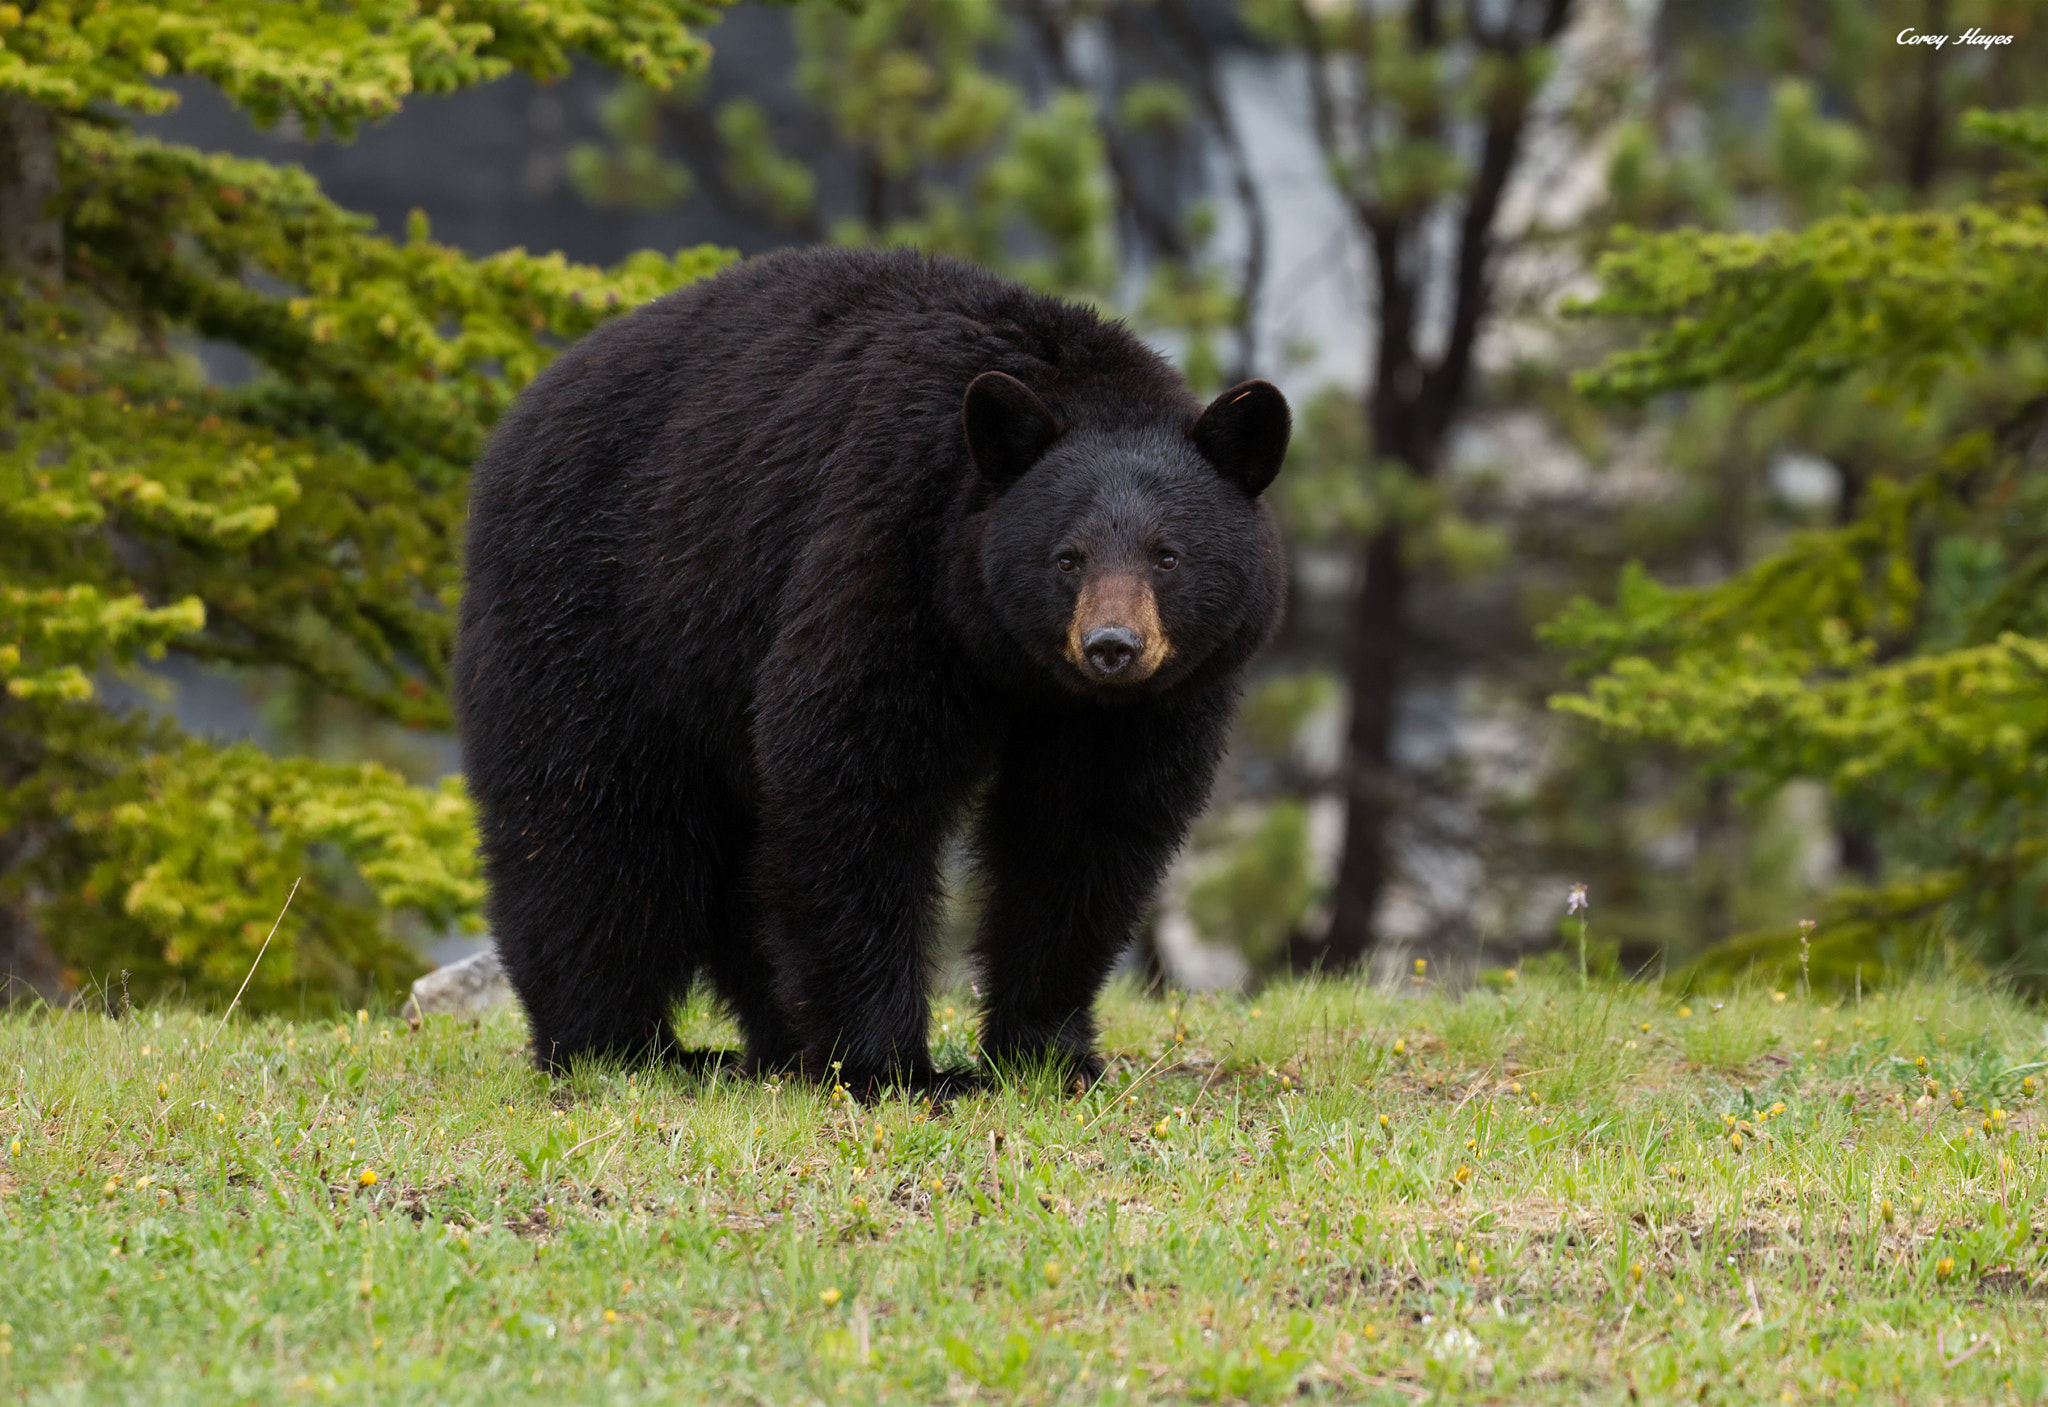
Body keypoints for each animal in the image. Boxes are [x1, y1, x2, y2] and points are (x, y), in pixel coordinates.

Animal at [454, 245, 1289, 1094]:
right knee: (591, 823)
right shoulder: (888, 545)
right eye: (1068, 556)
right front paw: (895, 1067)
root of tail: (519, 414)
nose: (1112, 645)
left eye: (1167, 555)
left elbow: (1084, 830)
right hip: (600, 606)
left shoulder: (1136, 708)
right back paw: (618, 1045)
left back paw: (771, 1041)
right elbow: (854, 777)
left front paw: (1047, 1051)